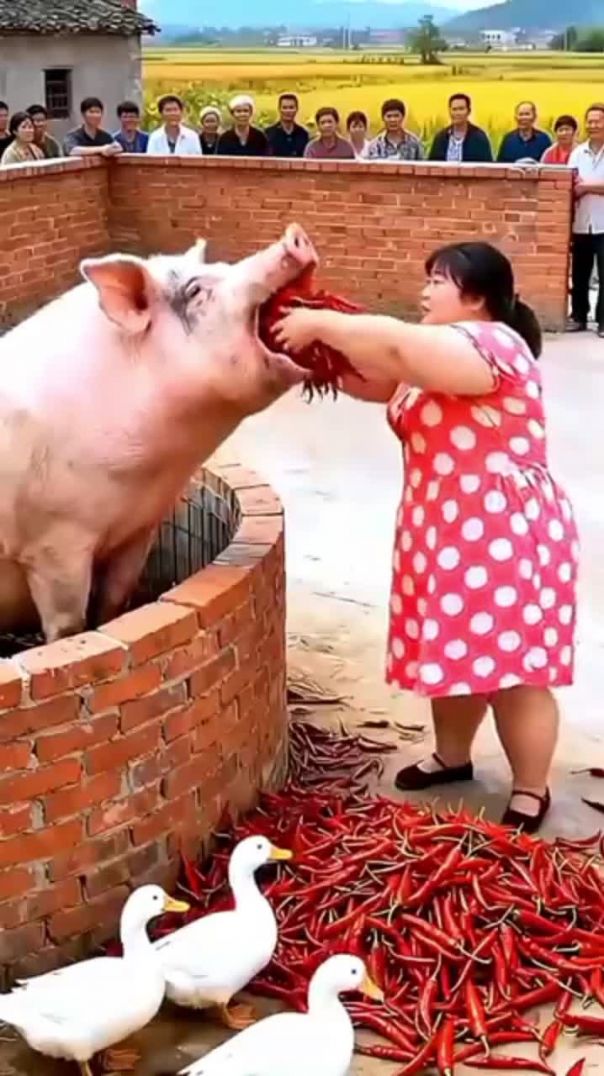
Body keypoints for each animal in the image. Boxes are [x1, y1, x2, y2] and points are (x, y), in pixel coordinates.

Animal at [0, 224, 317, 643]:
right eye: (196, 290)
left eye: (222, 267)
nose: (295, 235)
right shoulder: (52, 541)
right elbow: (67, 626)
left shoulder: (139, 528)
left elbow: (115, 600)